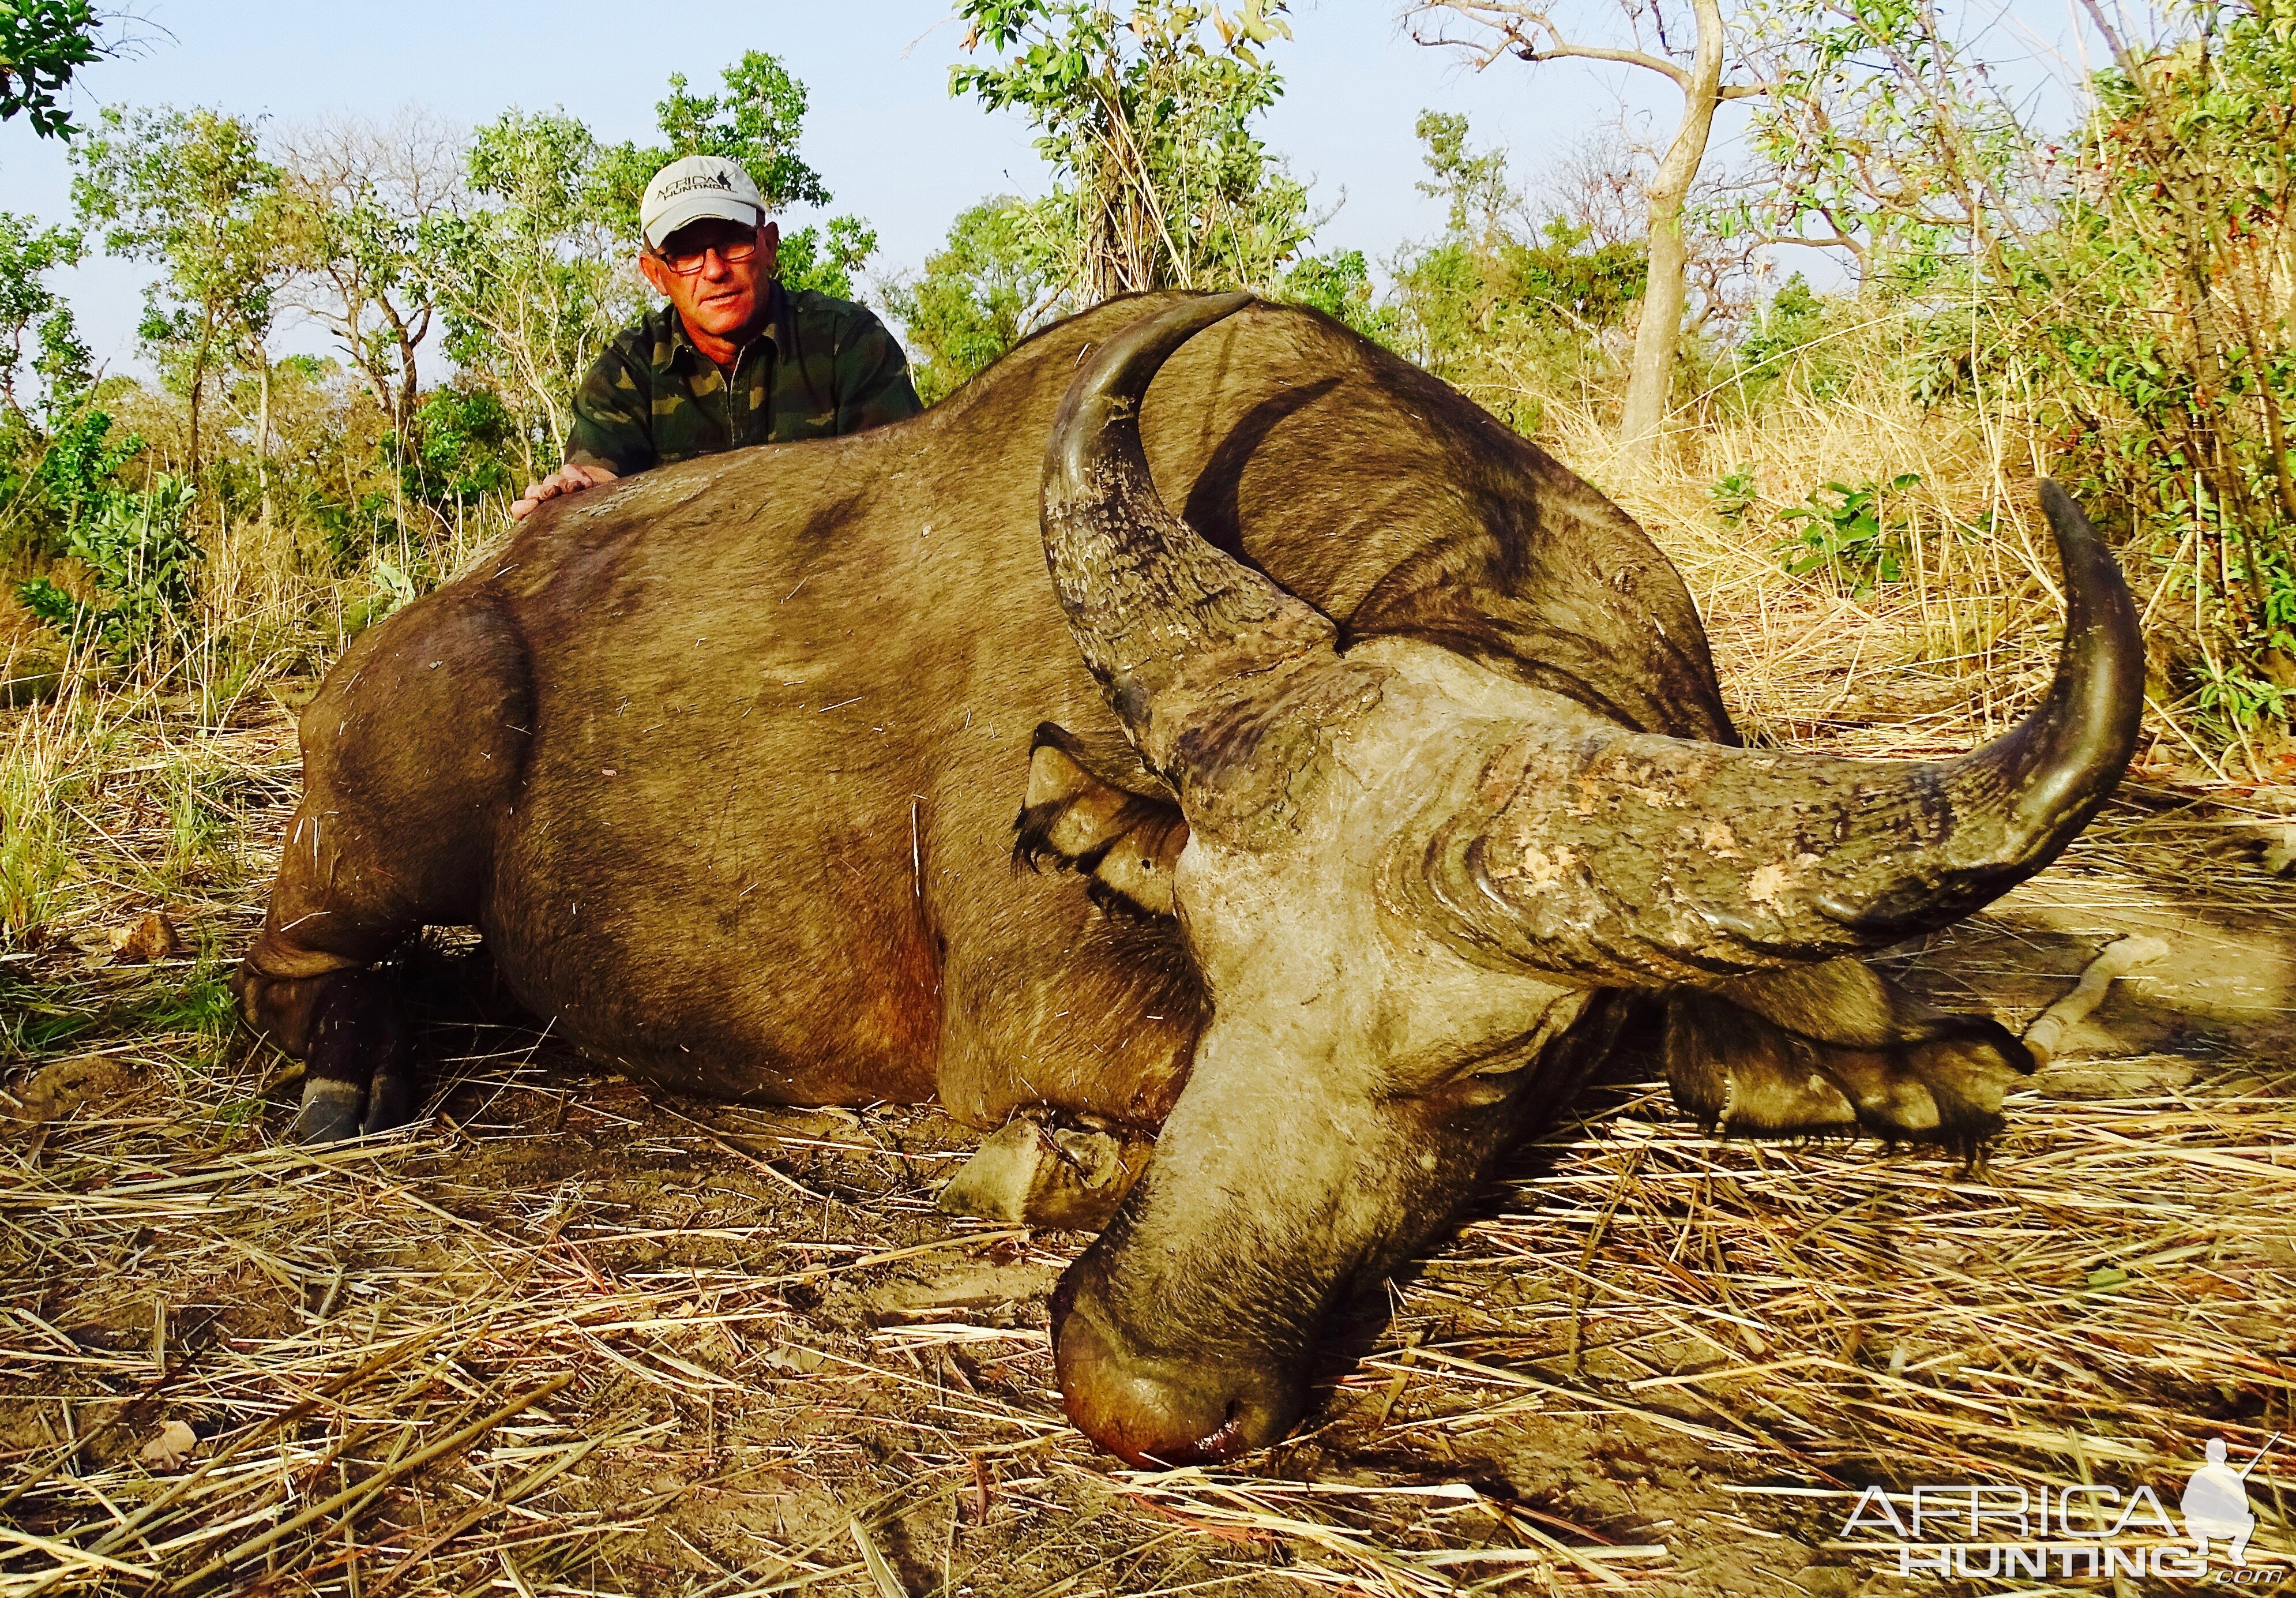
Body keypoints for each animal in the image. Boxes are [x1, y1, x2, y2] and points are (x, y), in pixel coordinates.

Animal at [233, 294, 2130, 1469]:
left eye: (1504, 1057)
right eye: (1213, 959)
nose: (1134, 1387)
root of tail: (473, 600)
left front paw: (1869, 1072)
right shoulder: (1030, 1020)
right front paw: (1037, 1164)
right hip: (394, 790)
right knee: (291, 956)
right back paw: (346, 1057)